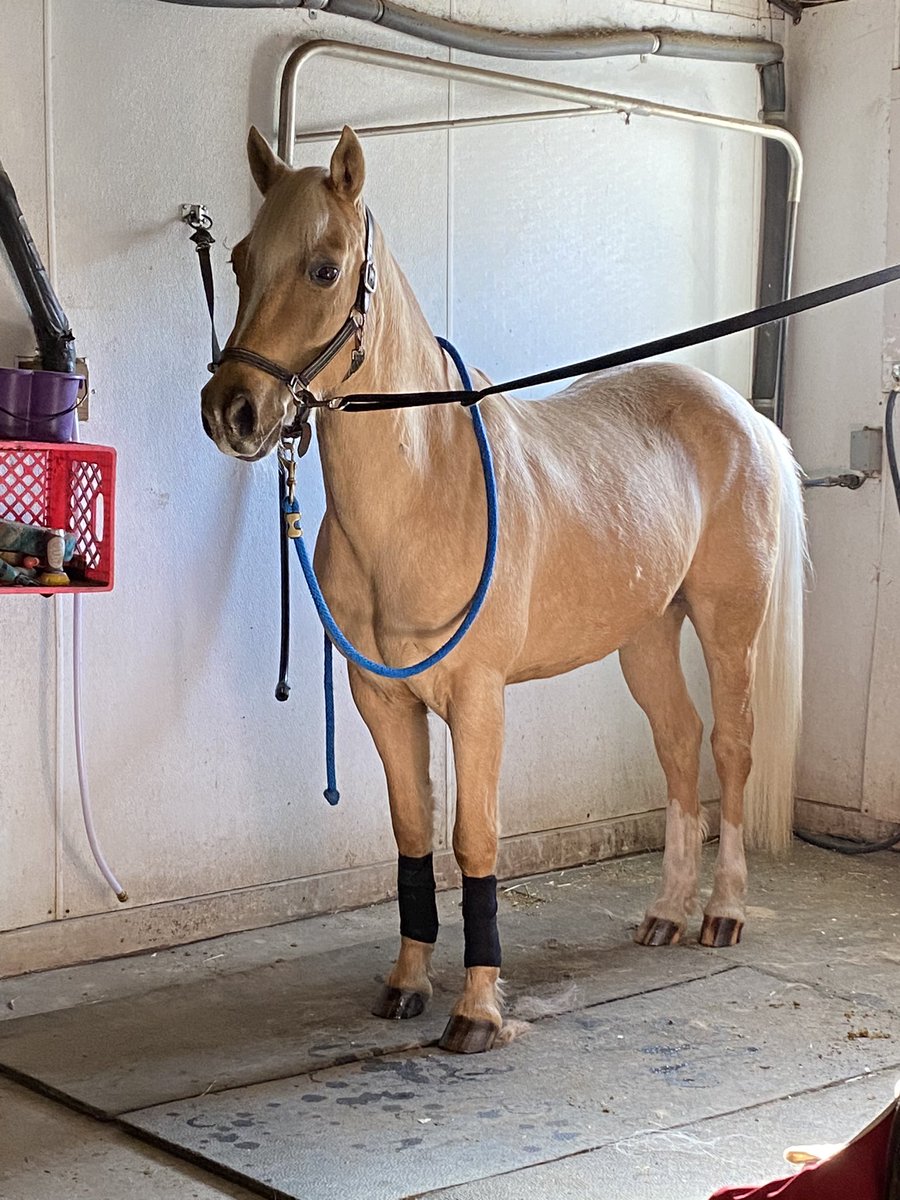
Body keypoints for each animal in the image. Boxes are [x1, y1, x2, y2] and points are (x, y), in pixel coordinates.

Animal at [200, 125, 807, 1055]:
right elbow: (414, 832)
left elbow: (475, 840)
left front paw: (478, 1010)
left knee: (733, 749)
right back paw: (666, 913)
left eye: (325, 268)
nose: (231, 410)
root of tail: (744, 414)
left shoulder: (479, 700)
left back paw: (723, 913)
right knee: (679, 743)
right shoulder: (383, 699)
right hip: (645, 636)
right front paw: (407, 984)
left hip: (725, 625)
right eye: (238, 259)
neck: (424, 490)